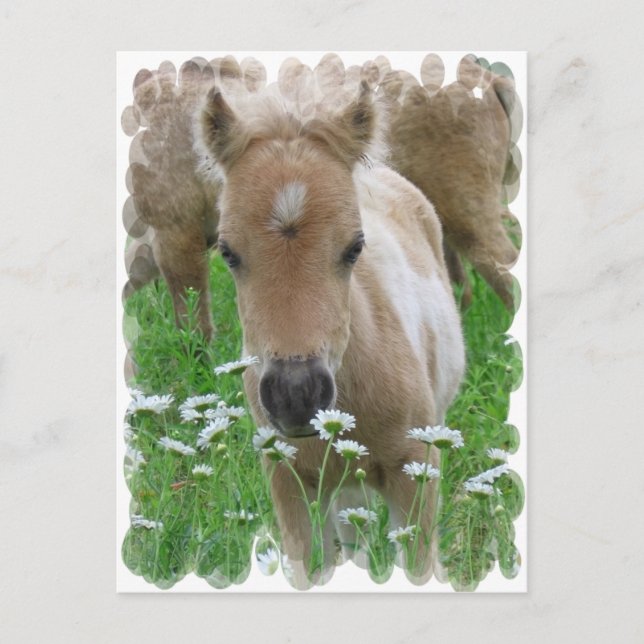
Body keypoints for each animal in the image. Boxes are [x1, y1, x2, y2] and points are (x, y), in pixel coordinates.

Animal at [197, 77, 466, 588]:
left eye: (355, 247)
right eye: (227, 252)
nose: (296, 395)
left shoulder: (416, 468)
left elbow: (420, 567)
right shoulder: (287, 478)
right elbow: (309, 569)